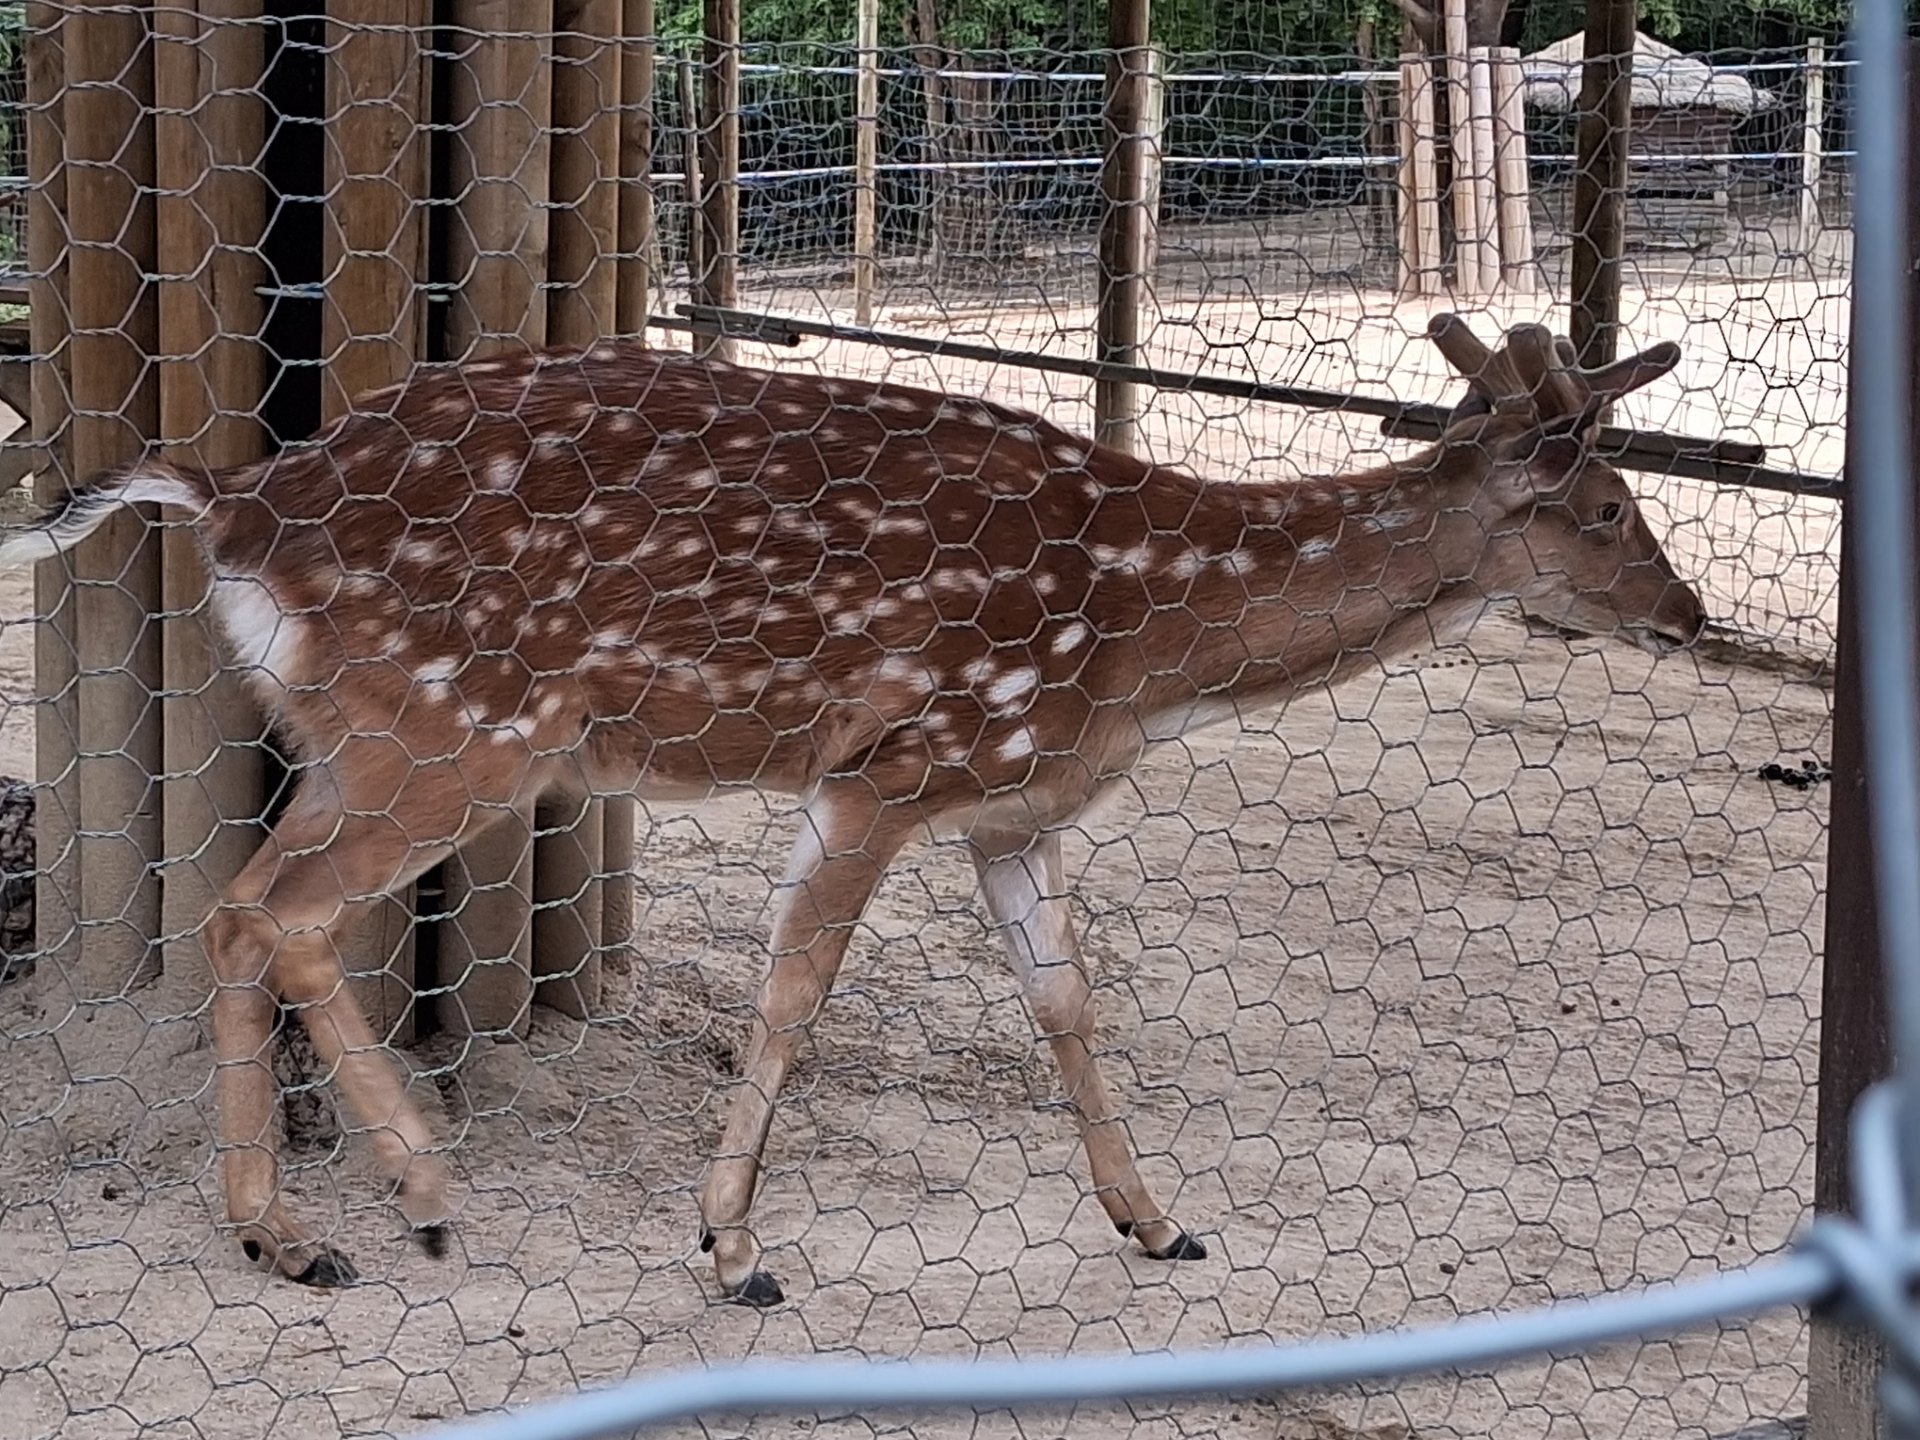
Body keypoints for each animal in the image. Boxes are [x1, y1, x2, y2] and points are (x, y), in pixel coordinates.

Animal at [0, 312, 1708, 1307]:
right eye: (1609, 506)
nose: (1689, 615)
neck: (1147, 649)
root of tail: (234, 506)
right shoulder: (895, 761)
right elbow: (795, 994)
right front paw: (732, 1251)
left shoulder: (1013, 804)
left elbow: (1067, 1000)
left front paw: (1157, 1222)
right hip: (454, 731)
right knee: (273, 908)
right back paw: (418, 1196)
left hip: (373, 737)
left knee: (237, 912)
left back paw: (282, 1234)